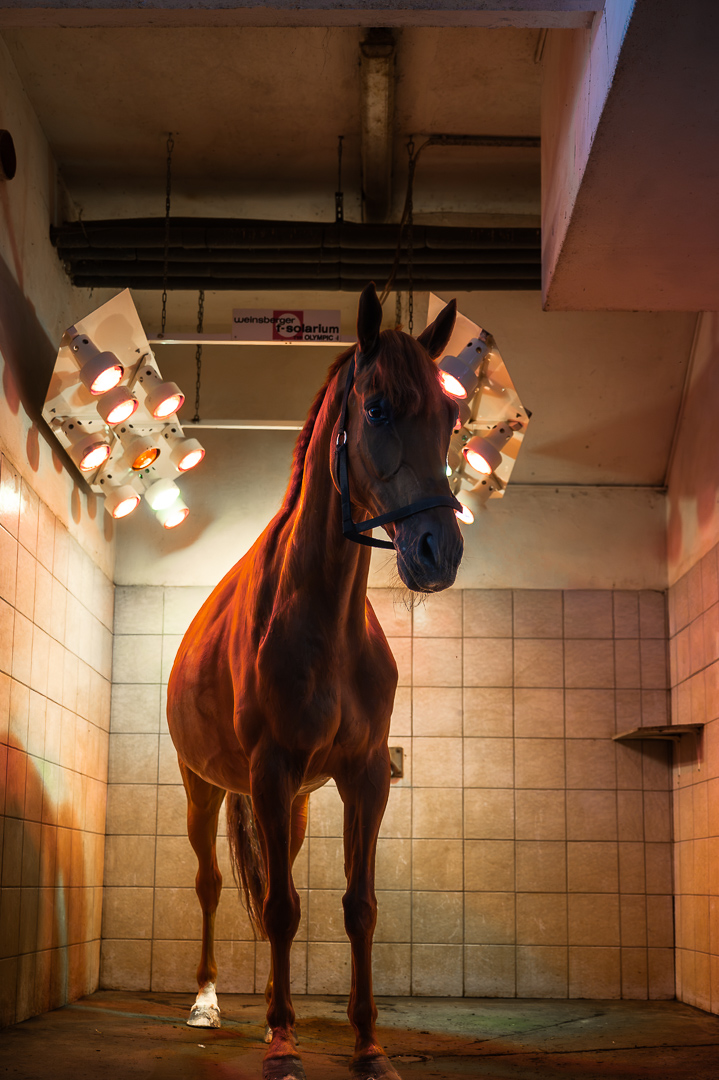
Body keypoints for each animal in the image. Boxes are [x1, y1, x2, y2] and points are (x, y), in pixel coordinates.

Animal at [166, 282, 463, 1080]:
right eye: (378, 408)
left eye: (452, 417)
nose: (439, 551)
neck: (324, 619)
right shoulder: (268, 771)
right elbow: (276, 909)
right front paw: (282, 1044)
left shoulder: (364, 775)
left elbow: (356, 906)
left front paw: (367, 1044)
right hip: (204, 787)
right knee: (213, 884)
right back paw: (210, 1002)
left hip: (294, 805)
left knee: (280, 879)